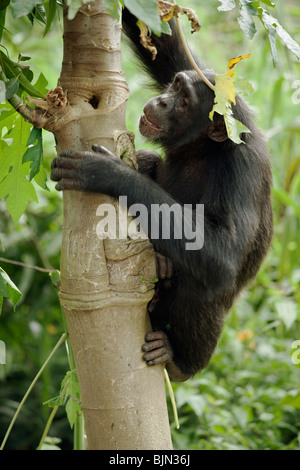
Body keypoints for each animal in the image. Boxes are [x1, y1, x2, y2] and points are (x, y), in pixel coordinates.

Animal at [51, 8, 272, 382]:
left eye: (184, 102)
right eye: (177, 84)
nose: (165, 100)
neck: (202, 148)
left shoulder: (243, 171)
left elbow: (224, 254)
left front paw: (110, 173)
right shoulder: (189, 65)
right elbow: (161, 38)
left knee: (202, 283)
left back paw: (179, 359)